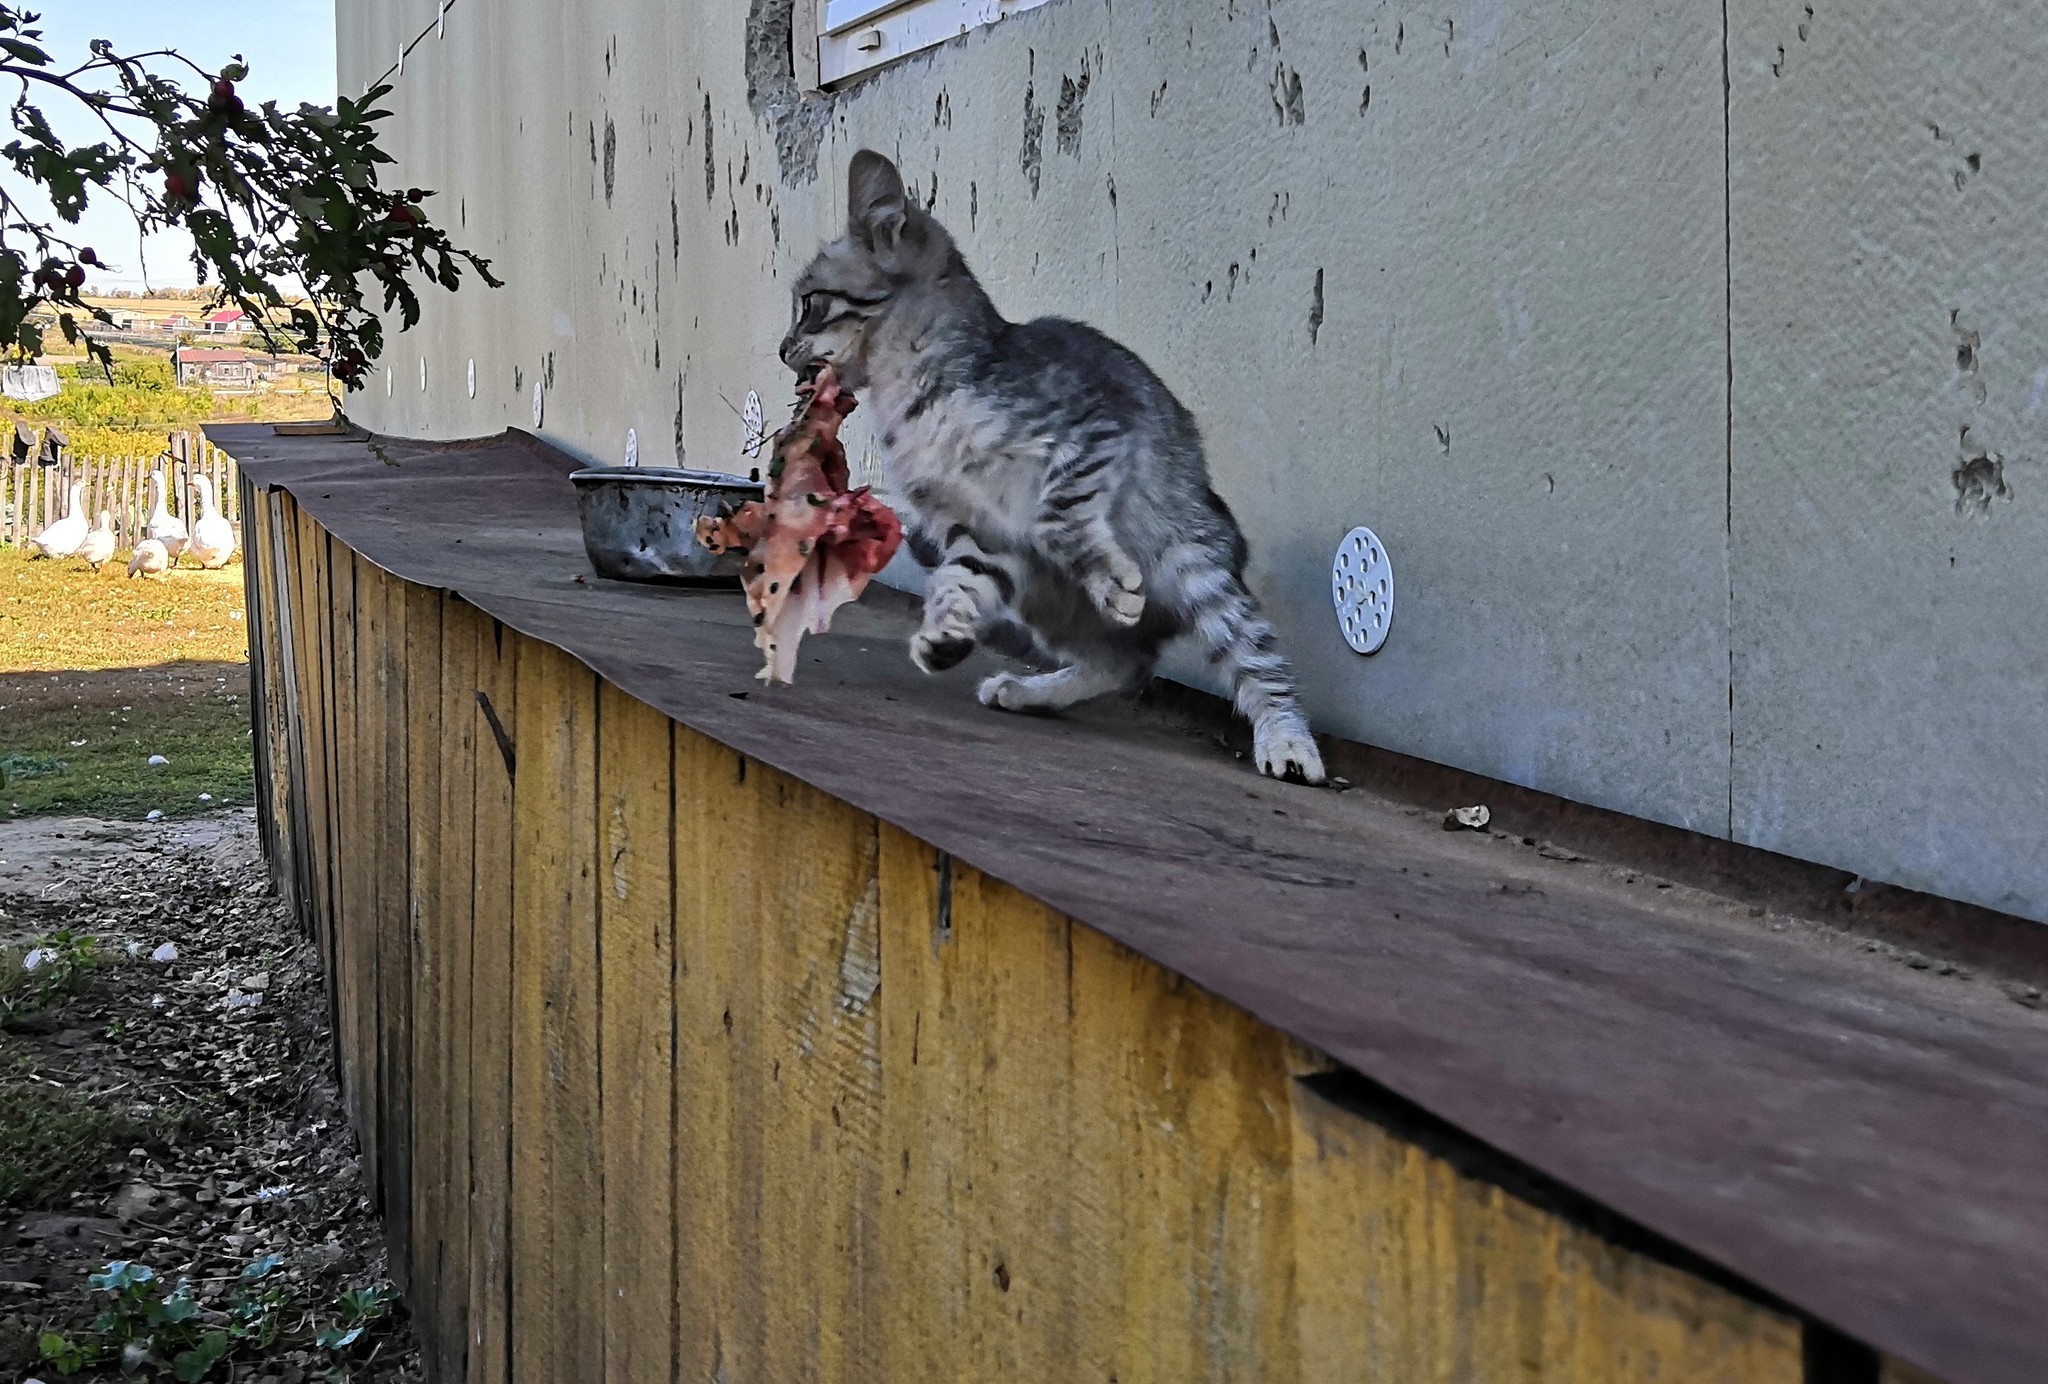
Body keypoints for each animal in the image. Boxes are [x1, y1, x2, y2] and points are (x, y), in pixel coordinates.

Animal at [774, 151, 1318, 782]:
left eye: (810, 304)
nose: (781, 348)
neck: (908, 396)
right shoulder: (978, 527)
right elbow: (961, 579)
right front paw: (945, 632)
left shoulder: (1096, 427)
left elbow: (1057, 513)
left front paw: (1111, 577)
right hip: (1045, 601)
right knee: (1126, 662)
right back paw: (1032, 689)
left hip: (1195, 565)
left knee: (1255, 660)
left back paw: (1288, 741)